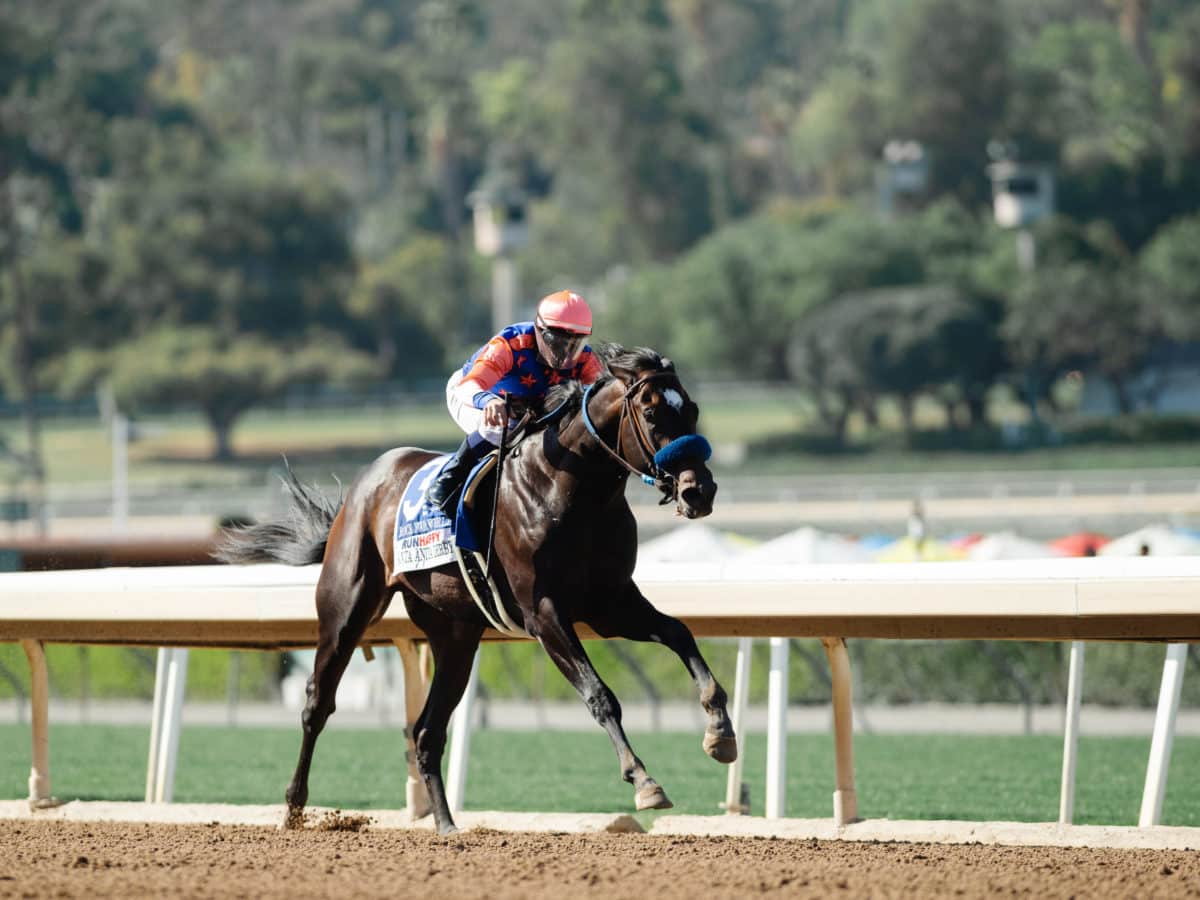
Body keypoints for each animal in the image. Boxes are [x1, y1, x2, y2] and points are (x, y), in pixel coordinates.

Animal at [220, 348, 734, 840]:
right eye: (651, 413)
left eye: (691, 410)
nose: (700, 491)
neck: (570, 489)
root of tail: (362, 488)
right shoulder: (543, 613)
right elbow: (600, 695)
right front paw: (644, 781)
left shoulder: (610, 604)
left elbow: (680, 634)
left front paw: (719, 732)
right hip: (346, 611)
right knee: (318, 704)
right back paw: (293, 809)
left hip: (456, 636)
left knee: (427, 731)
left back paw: (446, 824)